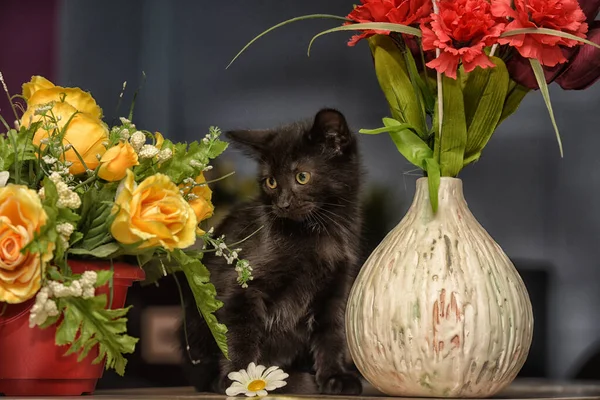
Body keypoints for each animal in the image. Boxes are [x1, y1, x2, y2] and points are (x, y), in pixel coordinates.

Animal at [178, 108, 364, 396]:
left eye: (302, 177)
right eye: (271, 182)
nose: (283, 204)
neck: (317, 233)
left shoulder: (337, 288)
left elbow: (332, 333)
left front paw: (335, 376)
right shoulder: (241, 287)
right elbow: (240, 333)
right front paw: (241, 378)